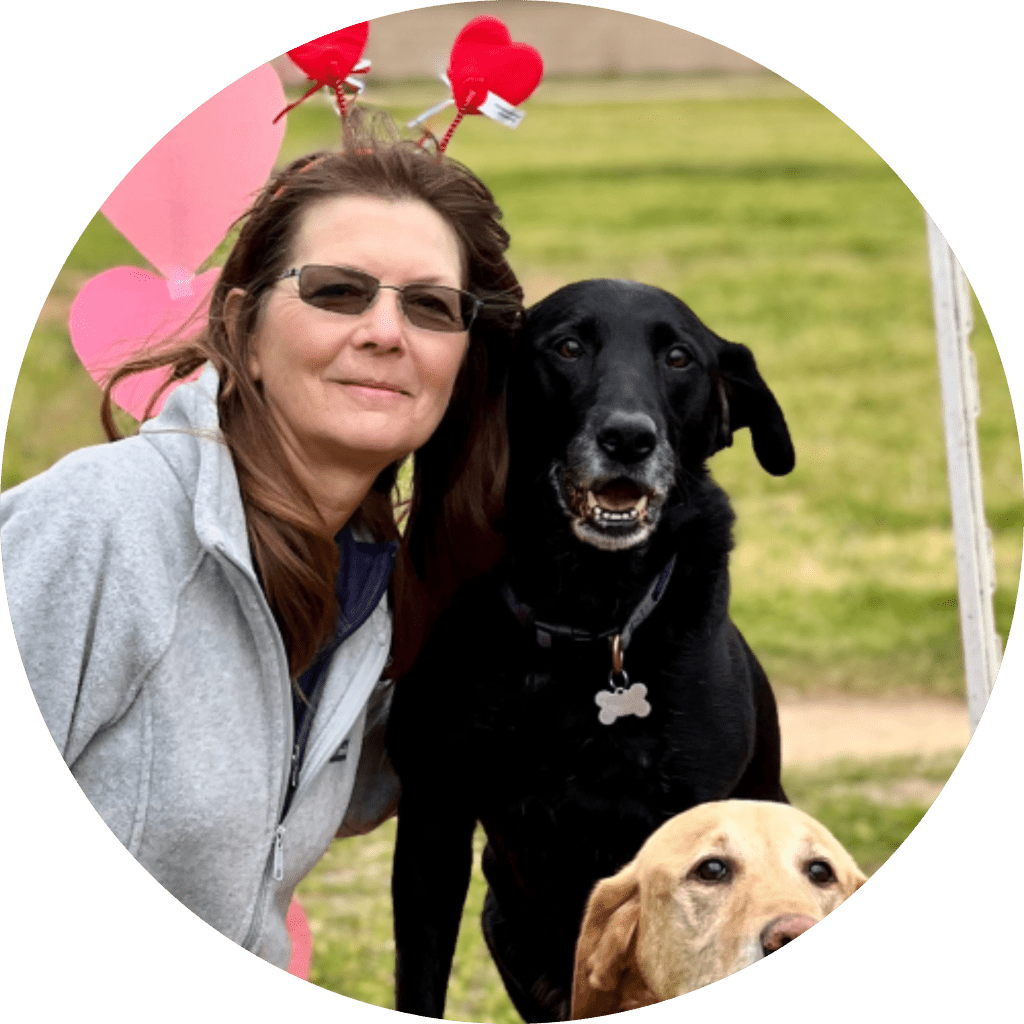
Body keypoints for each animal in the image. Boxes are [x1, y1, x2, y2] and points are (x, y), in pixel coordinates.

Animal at [388, 279, 796, 1021]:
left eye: (679, 357)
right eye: (568, 347)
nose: (629, 437)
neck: (584, 617)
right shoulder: (435, 814)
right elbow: (421, 978)